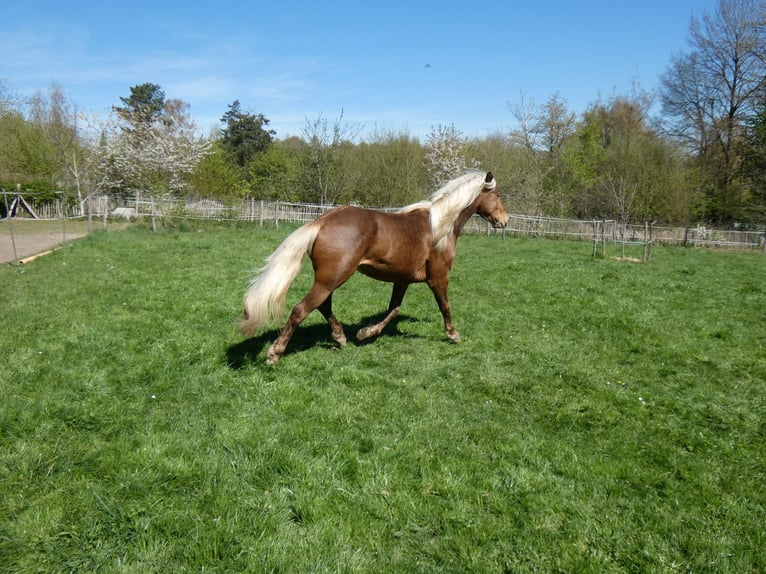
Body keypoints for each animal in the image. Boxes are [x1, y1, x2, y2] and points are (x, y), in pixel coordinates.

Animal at [239, 169, 508, 364]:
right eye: (498, 195)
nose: (504, 221)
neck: (440, 226)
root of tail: (322, 221)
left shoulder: (402, 279)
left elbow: (394, 309)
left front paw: (366, 333)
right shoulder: (438, 277)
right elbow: (445, 307)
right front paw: (453, 335)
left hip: (329, 278)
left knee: (323, 306)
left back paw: (341, 338)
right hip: (333, 277)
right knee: (301, 309)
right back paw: (275, 353)